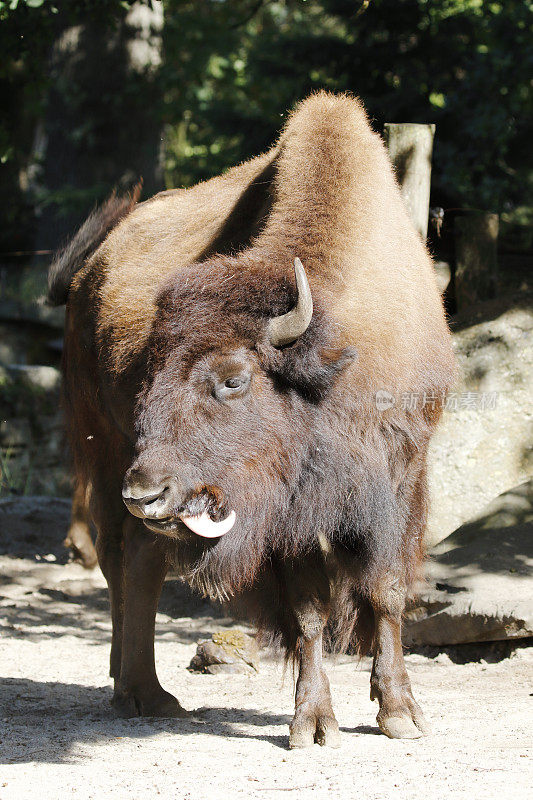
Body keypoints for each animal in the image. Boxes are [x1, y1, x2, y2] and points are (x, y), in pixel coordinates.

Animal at [47, 95, 454, 752]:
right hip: (108, 455)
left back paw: (141, 689)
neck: (336, 358)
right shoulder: (289, 520)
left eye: (234, 379)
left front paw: (401, 715)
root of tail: (91, 266)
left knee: (140, 559)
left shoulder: (401, 476)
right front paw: (313, 724)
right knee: (123, 560)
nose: (147, 492)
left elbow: (387, 591)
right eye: (152, 371)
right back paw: (139, 693)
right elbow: (311, 610)